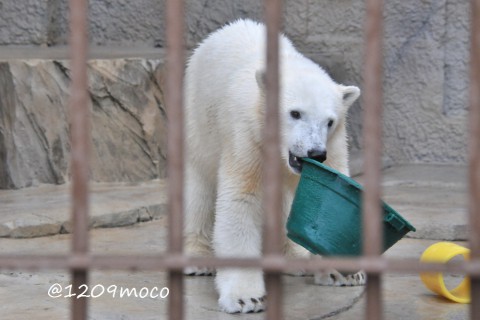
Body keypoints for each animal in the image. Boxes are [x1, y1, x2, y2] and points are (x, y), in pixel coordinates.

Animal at [182, 19, 362, 312]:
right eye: (295, 113)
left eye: (329, 121)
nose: (315, 153)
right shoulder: (246, 134)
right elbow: (241, 200)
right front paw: (247, 298)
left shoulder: (334, 144)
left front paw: (342, 273)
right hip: (198, 120)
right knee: (199, 187)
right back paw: (197, 258)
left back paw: (295, 258)